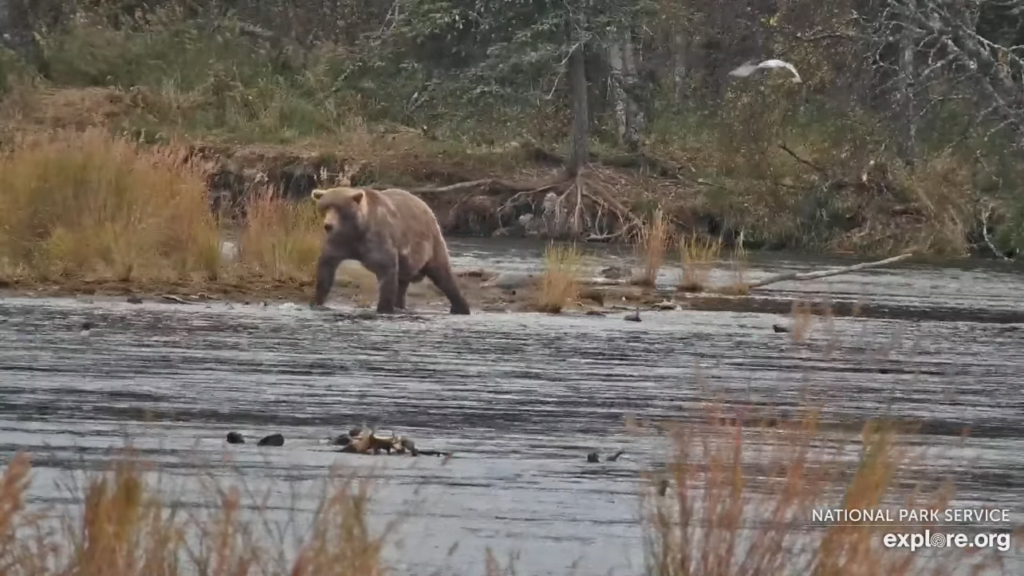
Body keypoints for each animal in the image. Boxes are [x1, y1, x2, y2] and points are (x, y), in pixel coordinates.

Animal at [311, 186, 471, 313]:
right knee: (402, 284)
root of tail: (425, 205)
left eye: (340, 208)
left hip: (430, 243)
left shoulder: (377, 237)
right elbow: (326, 265)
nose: (328, 225)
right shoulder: (340, 241)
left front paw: (384, 309)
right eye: (325, 207)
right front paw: (316, 302)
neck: (357, 230)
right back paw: (400, 305)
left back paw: (461, 308)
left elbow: (385, 271)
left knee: (443, 275)